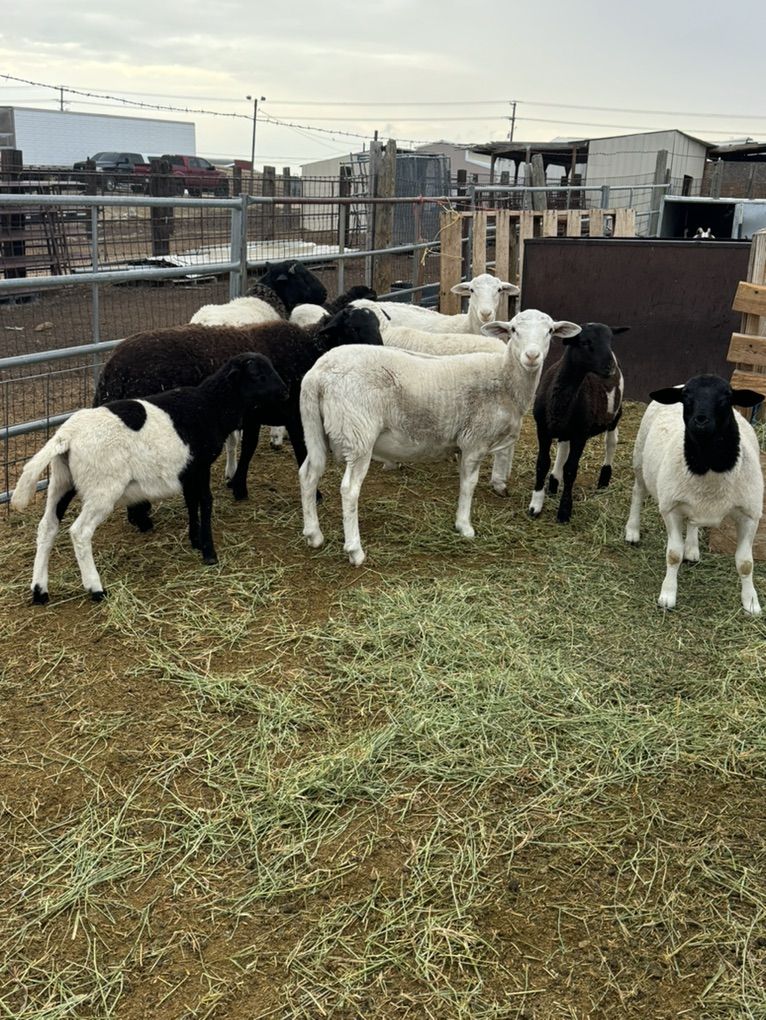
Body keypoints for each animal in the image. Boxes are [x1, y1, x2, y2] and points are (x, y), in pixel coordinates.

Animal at [11, 354, 287, 604]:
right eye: (257, 373)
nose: (285, 392)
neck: (211, 406)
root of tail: (66, 436)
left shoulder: (188, 469)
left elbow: (192, 502)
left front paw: (196, 541)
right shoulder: (200, 465)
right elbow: (206, 502)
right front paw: (210, 553)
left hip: (62, 482)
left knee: (47, 527)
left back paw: (39, 591)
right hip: (102, 488)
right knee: (79, 532)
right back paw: (95, 589)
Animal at [93, 306, 384, 531]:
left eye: (378, 324)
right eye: (354, 329)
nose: (380, 354)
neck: (308, 349)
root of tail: (112, 371)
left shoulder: (254, 414)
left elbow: (248, 449)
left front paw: (237, 485)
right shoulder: (292, 413)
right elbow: (302, 451)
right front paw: (317, 493)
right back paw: (141, 519)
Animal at [298, 309, 581, 565]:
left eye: (550, 331)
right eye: (513, 330)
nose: (532, 356)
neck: (504, 378)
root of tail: (317, 375)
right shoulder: (474, 440)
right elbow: (469, 484)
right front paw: (464, 526)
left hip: (316, 429)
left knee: (308, 473)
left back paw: (313, 534)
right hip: (359, 433)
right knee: (349, 489)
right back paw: (355, 551)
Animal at [527, 323, 629, 524]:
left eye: (610, 340)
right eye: (584, 342)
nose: (610, 367)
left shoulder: (581, 434)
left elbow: (570, 470)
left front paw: (564, 511)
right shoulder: (542, 429)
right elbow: (542, 463)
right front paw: (535, 505)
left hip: (615, 413)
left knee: (611, 442)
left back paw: (604, 479)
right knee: (563, 447)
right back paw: (553, 482)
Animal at [624, 375, 764, 615]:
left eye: (727, 397)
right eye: (686, 398)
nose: (700, 421)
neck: (708, 468)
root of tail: (677, 383)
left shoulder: (750, 514)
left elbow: (746, 564)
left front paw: (751, 602)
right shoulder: (670, 507)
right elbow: (673, 555)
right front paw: (667, 595)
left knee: (692, 521)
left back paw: (691, 548)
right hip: (639, 458)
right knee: (638, 492)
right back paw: (632, 530)